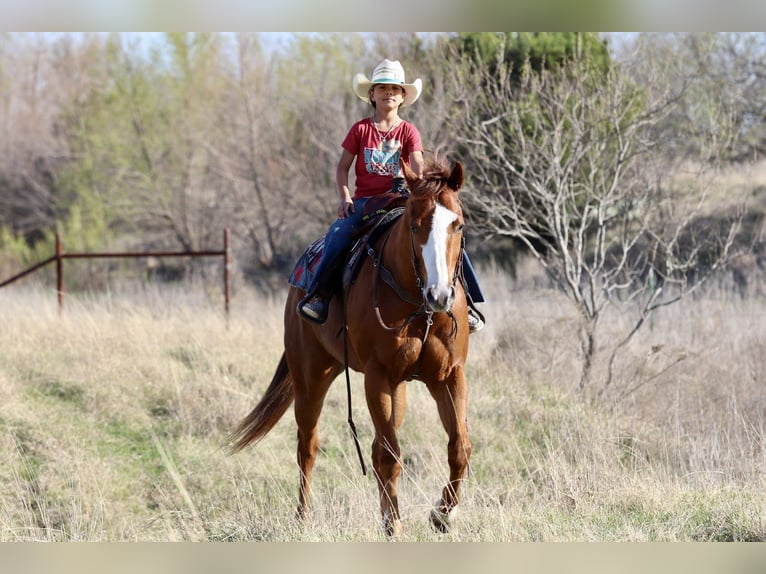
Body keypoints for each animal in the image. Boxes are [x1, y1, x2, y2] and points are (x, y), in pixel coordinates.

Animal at [228, 157, 472, 536]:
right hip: (311, 378)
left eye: (457, 224)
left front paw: (442, 515)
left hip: (396, 388)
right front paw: (395, 526)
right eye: (415, 226)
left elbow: (459, 448)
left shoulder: (449, 375)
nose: (440, 295)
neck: (419, 308)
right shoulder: (378, 377)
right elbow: (388, 456)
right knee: (308, 446)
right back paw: (303, 517)